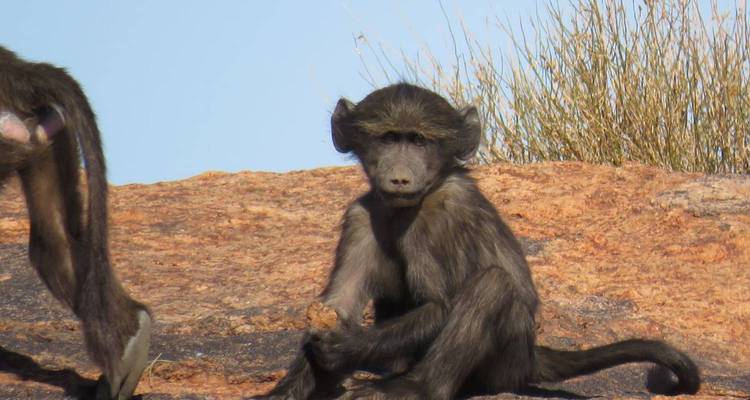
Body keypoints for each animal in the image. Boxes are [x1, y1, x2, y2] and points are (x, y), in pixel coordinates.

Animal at [256, 83, 700, 399]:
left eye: (419, 141)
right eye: (388, 138)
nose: (399, 178)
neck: (412, 203)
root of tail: (531, 356)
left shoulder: (440, 217)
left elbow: (439, 305)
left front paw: (343, 347)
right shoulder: (361, 217)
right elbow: (338, 304)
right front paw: (286, 390)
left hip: (504, 362)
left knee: (492, 285)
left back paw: (414, 388)